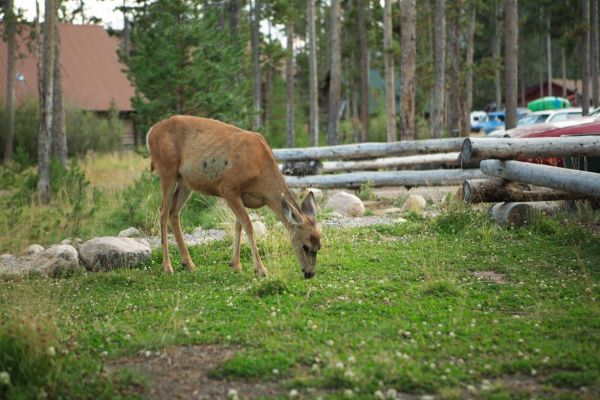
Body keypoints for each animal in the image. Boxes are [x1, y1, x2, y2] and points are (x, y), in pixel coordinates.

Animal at [146, 115, 322, 278]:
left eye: (319, 246)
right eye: (305, 246)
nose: (310, 273)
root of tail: (151, 132)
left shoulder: (243, 196)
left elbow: (239, 225)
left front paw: (236, 265)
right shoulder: (228, 188)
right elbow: (248, 225)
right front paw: (261, 269)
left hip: (185, 182)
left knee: (174, 212)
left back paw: (188, 263)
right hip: (167, 171)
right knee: (162, 211)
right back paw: (168, 266)